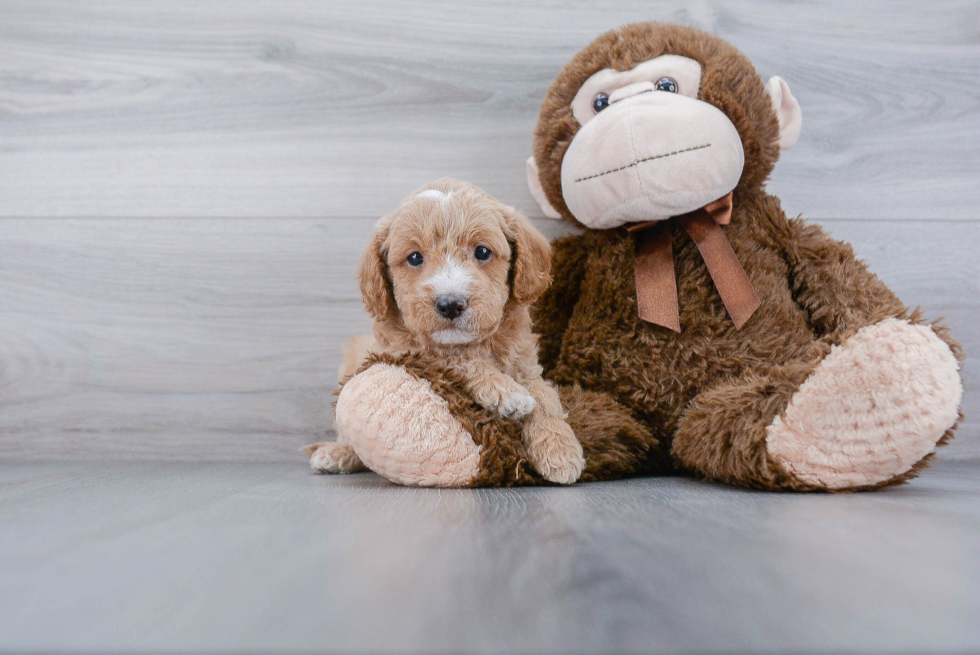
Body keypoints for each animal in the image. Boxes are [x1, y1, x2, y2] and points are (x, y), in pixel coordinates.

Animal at [302, 177, 584, 484]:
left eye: (482, 251)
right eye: (415, 258)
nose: (450, 304)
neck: (468, 342)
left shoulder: (526, 364)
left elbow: (544, 394)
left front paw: (560, 450)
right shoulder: (407, 352)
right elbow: (457, 360)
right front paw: (504, 391)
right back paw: (337, 454)